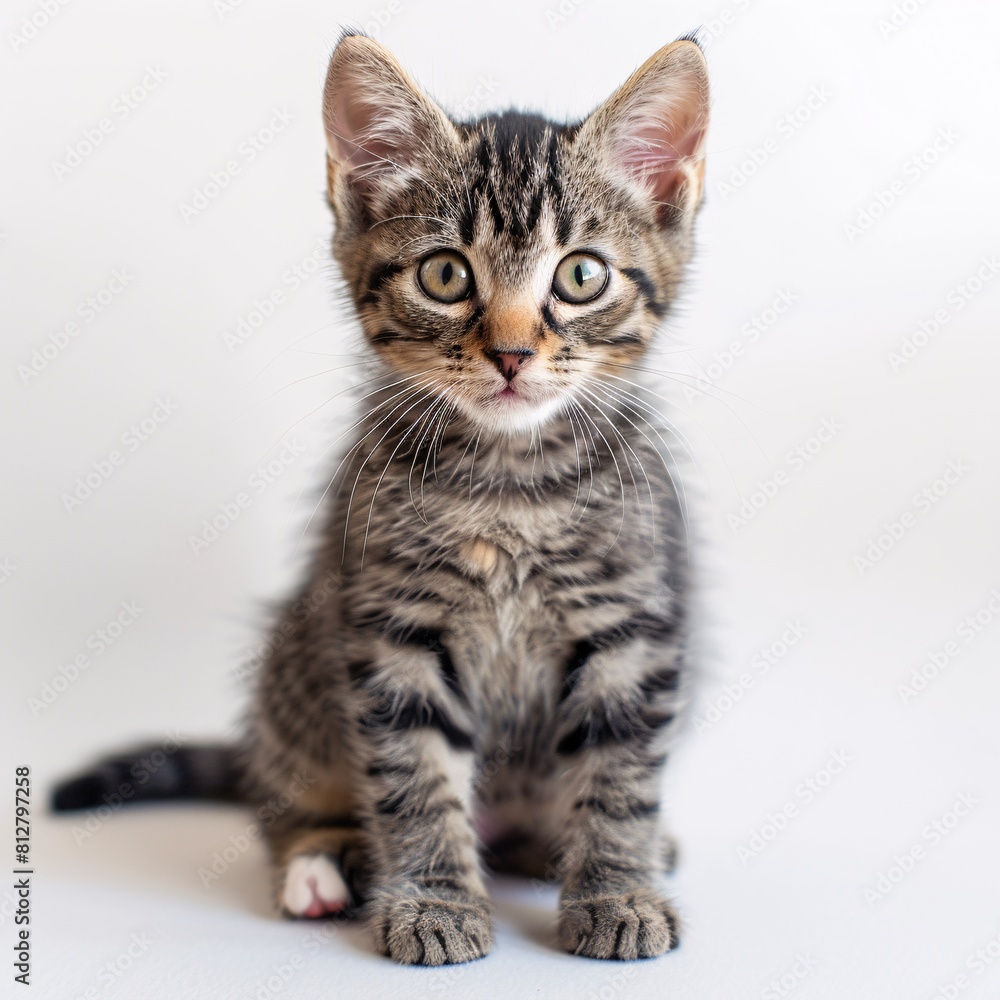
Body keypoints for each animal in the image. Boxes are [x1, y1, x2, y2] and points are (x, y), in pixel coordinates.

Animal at [52, 33, 712, 968]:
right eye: (445, 275)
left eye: (581, 276)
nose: (512, 353)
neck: (510, 482)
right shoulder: (393, 627)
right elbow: (414, 776)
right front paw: (433, 903)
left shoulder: (631, 620)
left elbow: (620, 774)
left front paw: (616, 890)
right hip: (300, 648)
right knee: (283, 801)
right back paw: (320, 865)